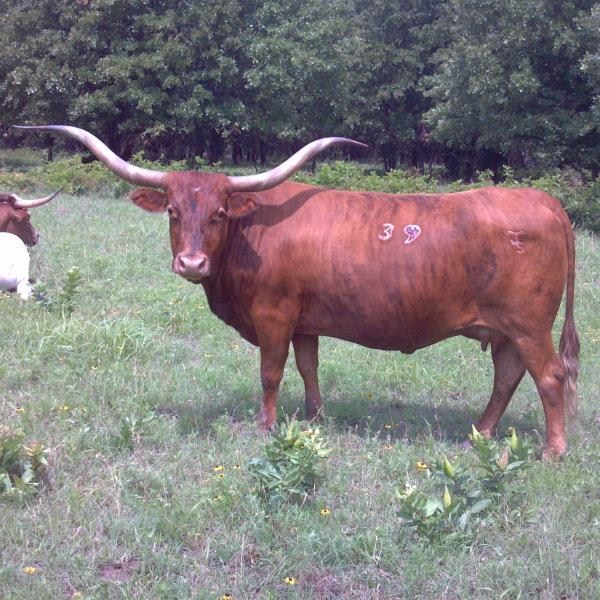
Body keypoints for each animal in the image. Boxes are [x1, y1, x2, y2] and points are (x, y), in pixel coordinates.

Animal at [15, 125, 579, 459]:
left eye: (219, 213)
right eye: (173, 211)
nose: (191, 262)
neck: (251, 233)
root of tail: (544, 200)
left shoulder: (273, 316)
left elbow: (271, 372)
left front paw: (266, 426)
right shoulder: (306, 321)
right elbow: (309, 367)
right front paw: (314, 418)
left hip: (528, 325)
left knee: (550, 379)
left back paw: (552, 452)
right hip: (505, 330)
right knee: (508, 377)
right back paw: (480, 432)